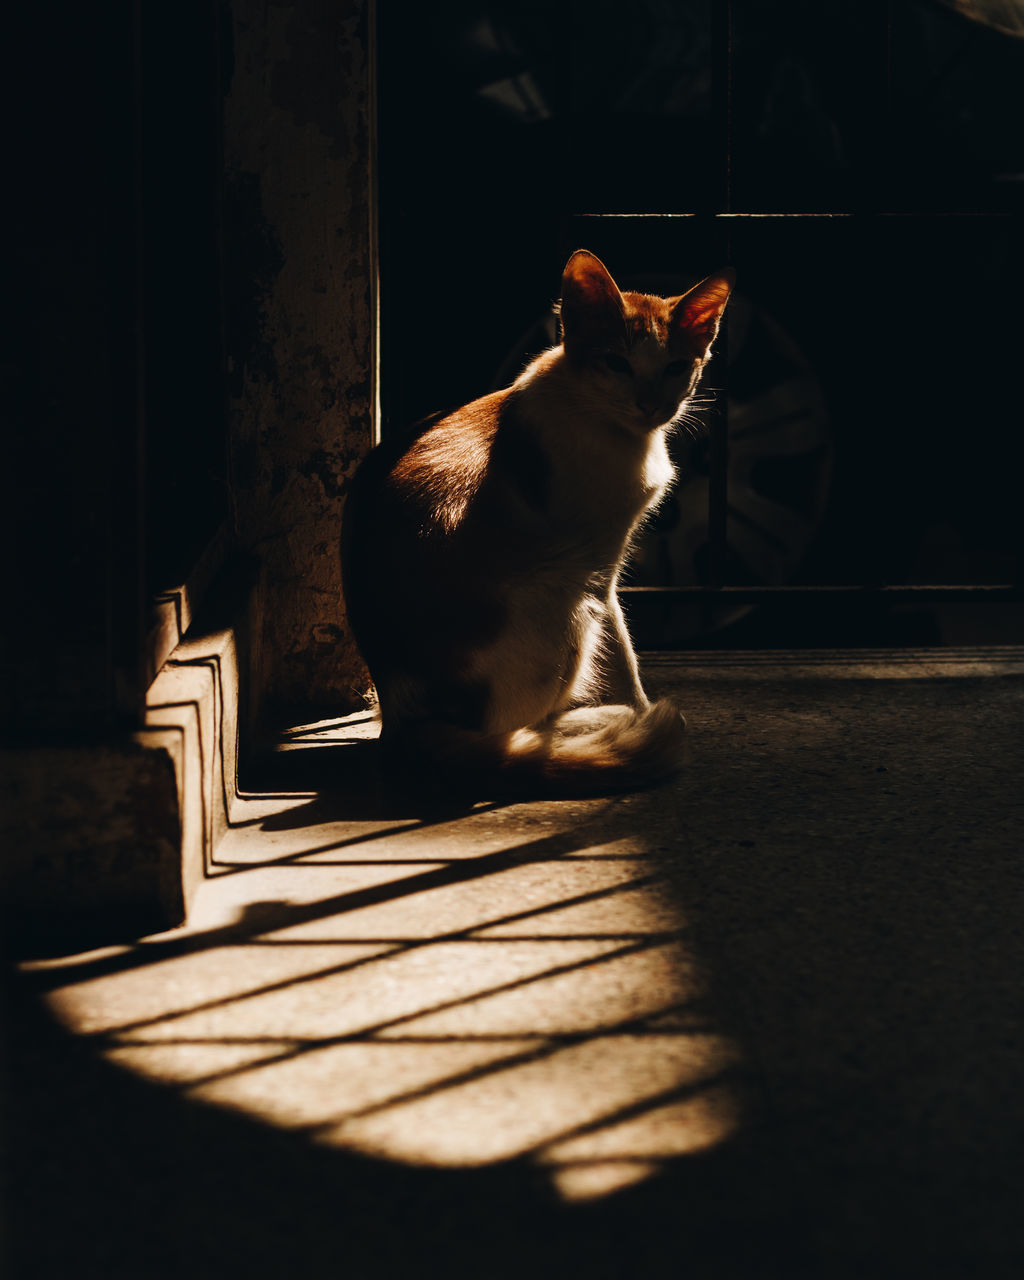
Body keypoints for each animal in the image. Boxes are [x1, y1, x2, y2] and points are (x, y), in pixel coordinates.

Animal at [340, 249, 732, 793]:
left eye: (676, 367)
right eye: (617, 363)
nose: (651, 404)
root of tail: (403, 724)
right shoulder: (600, 570)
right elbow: (623, 650)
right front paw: (641, 710)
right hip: (562, 590)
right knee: (506, 731)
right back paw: (593, 724)